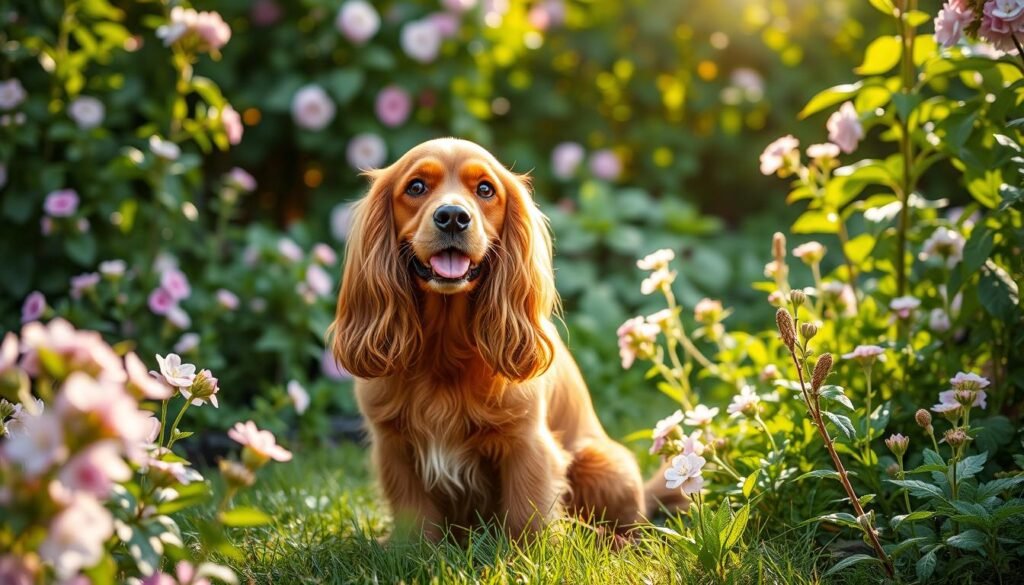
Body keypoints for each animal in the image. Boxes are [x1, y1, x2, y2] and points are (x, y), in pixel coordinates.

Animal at [329, 138, 679, 540]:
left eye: (485, 189)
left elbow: (528, 515)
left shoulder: (526, 443)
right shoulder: (394, 446)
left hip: (607, 464)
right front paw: (408, 549)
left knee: (634, 530)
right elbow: (414, 517)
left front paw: (529, 551)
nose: (453, 216)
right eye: (416, 187)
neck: (443, 347)